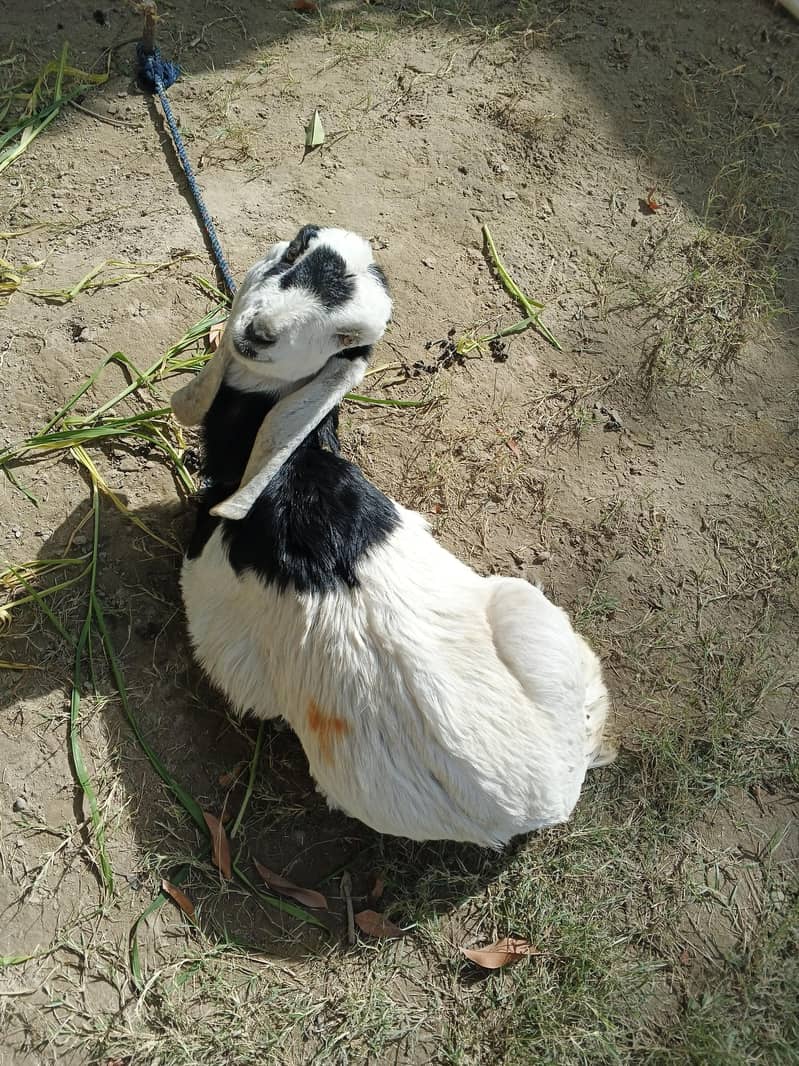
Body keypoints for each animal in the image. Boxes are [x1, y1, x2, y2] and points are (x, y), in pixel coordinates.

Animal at [172, 225, 616, 847]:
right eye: (298, 250)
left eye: (346, 337)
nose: (259, 333)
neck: (285, 471)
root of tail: (550, 796)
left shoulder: (212, 609)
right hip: (526, 613)